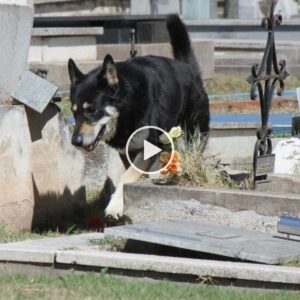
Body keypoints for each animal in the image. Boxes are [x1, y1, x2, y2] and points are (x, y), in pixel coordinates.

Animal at [68, 14, 209, 219]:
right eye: (74, 111)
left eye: (92, 110)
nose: (75, 141)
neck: (128, 105)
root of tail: (189, 68)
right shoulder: (126, 151)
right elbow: (125, 175)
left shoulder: (146, 147)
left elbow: (126, 177)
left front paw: (115, 206)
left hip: (194, 135)